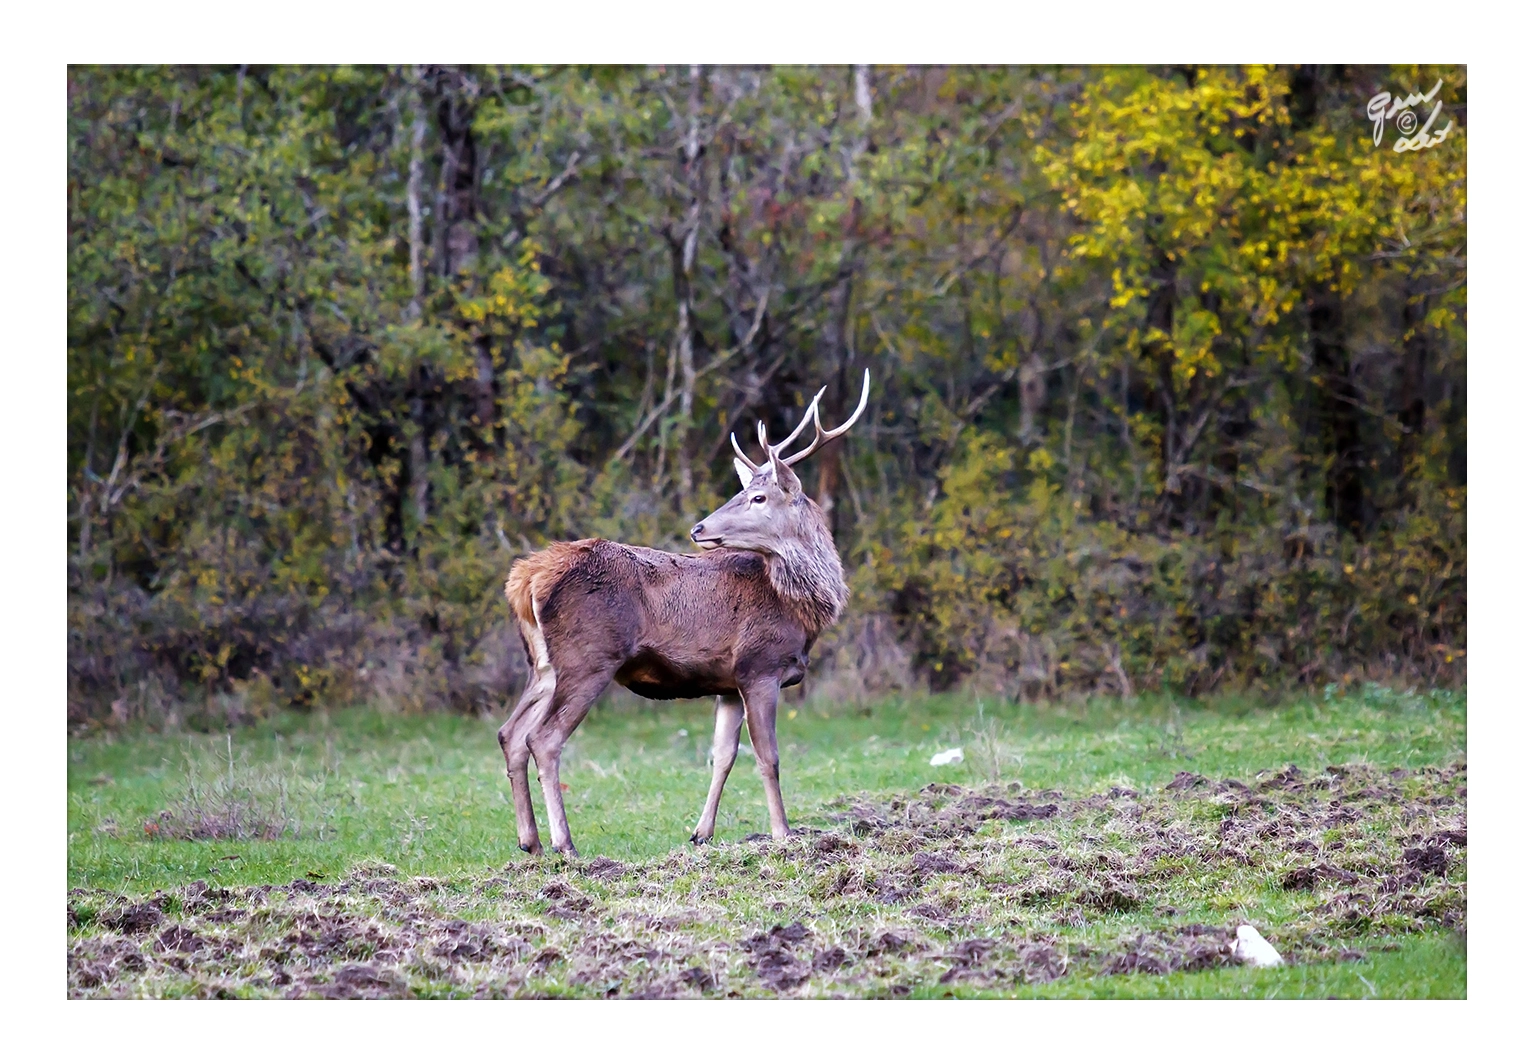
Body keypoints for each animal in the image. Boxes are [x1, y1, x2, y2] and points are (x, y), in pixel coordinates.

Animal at [497, 366, 871, 852]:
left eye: (757, 498)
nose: (699, 528)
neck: (799, 608)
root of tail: (526, 577)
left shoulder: (728, 683)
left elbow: (723, 756)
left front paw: (701, 833)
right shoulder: (760, 666)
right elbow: (767, 757)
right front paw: (783, 834)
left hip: (542, 664)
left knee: (510, 733)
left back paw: (531, 842)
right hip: (589, 657)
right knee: (543, 738)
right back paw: (565, 844)